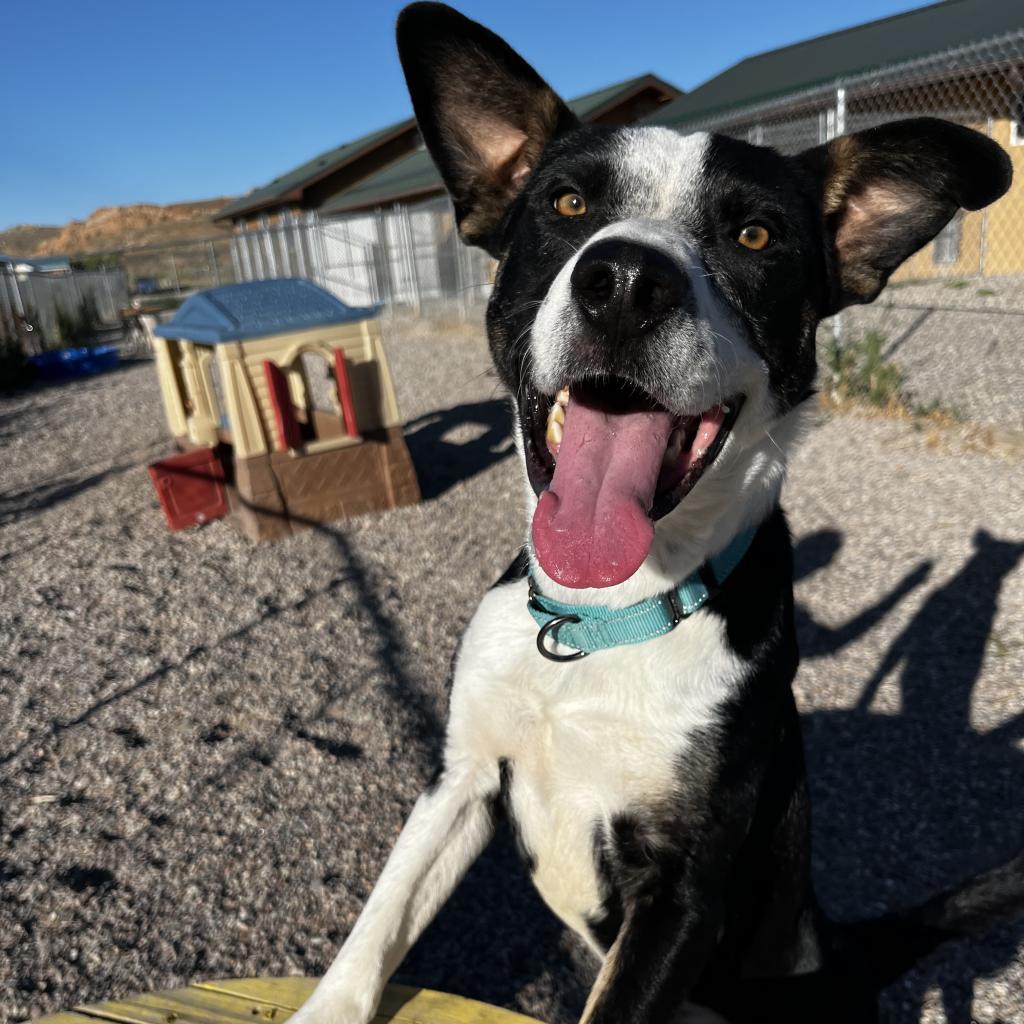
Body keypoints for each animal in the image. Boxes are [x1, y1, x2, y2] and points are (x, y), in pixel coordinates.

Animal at [292, 8, 1019, 1024]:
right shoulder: (461, 778)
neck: (599, 623)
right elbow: (378, 925)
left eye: (754, 234)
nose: (628, 282)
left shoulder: (682, 891)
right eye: (564, 206)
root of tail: (840, 947)